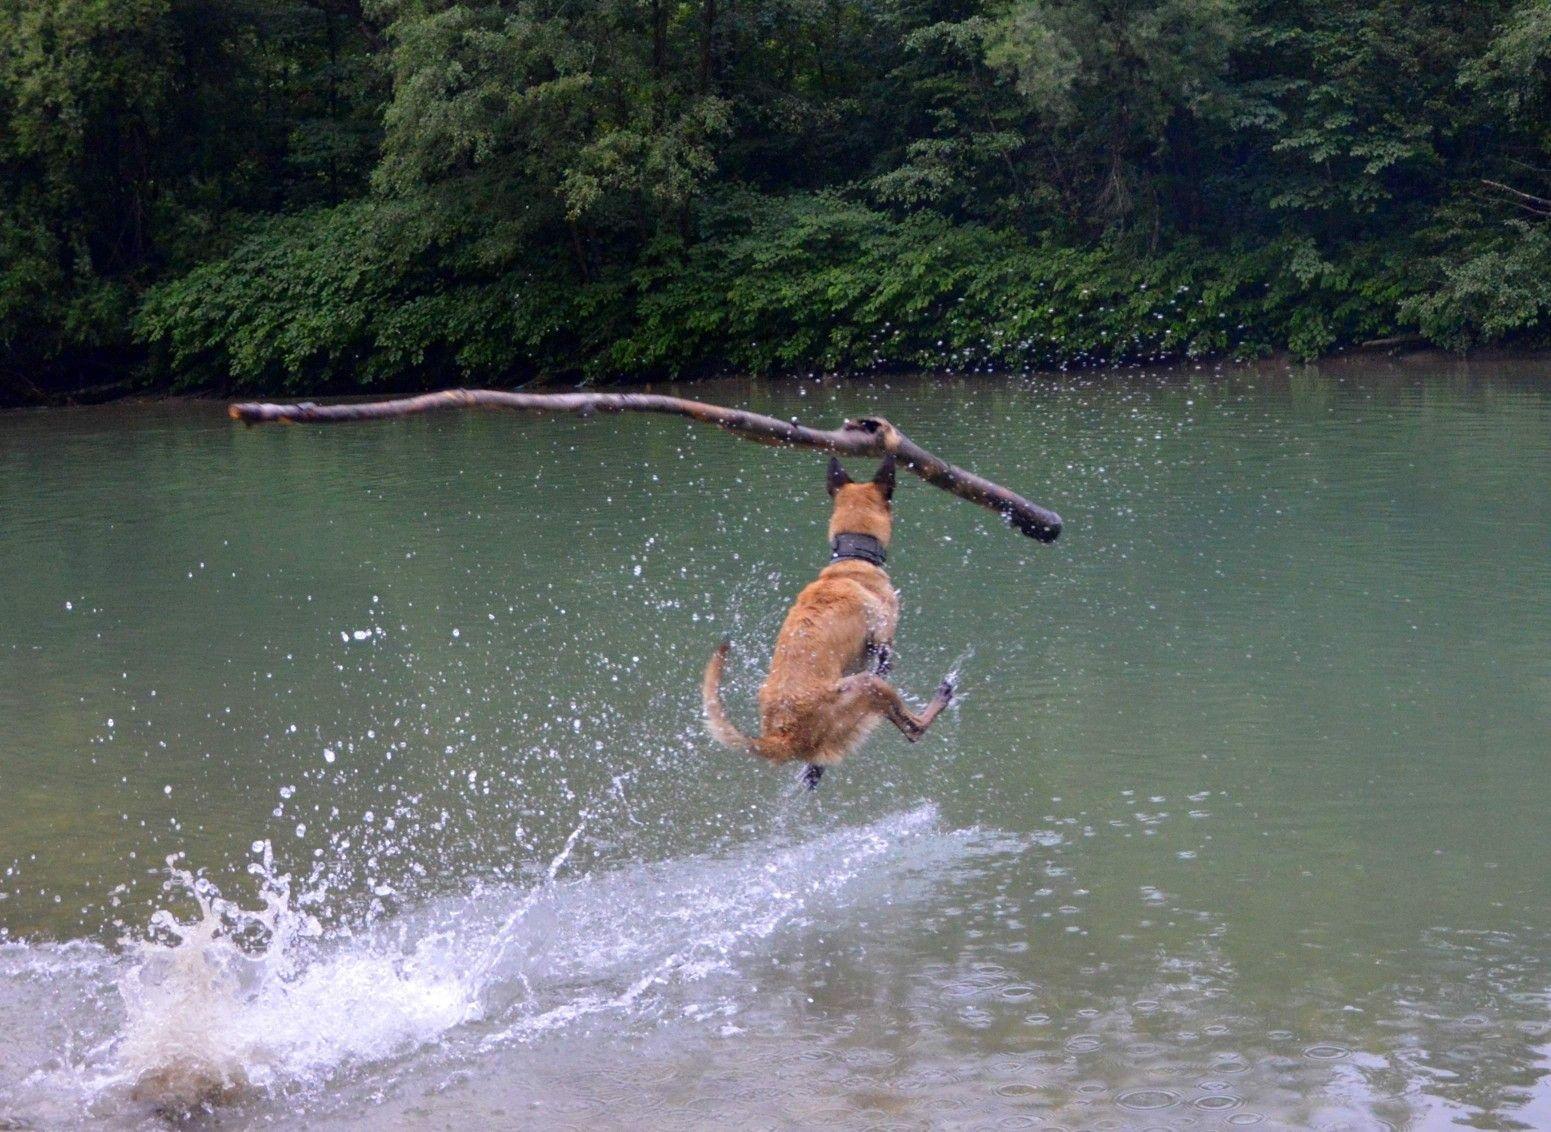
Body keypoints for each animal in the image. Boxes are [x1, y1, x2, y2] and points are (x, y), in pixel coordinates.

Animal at [707, 449, 955, 784]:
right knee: (912, 728)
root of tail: (780, 735)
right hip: (865, 687)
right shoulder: (882, 643)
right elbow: (885, 663)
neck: (852, 560)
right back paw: (940, 697)